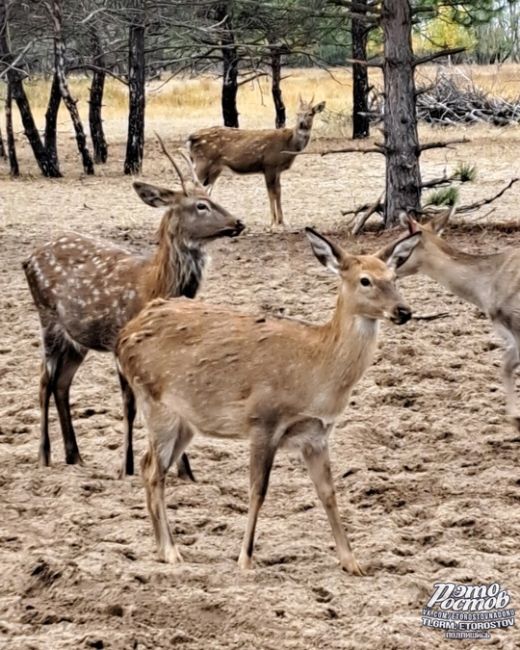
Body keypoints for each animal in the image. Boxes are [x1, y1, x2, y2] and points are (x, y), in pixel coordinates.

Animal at [22, 139, 244, 478]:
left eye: (211, 197)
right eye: (200, 205)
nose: (237, 223)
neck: (154, 286)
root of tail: (28, 258)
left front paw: (187, 473)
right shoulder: (118, 340)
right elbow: (129, 404)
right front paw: (125, 467)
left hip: (76, 338)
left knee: (62, 383)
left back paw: (75, 456)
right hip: (47, 318)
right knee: (44, 380)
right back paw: (44, 456)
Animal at [116, 228, 416, 572]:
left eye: (394, 276)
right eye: (365, 280)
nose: (404, 311)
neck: (317, 373)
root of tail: (123, 336)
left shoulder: (316, 434)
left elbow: (328, 492)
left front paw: (352, 563)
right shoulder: (264, 420)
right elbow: (257, 490)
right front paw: (245, 559)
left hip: (185, 422)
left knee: (147, 465)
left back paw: (160, 547)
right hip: (156, 403)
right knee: (154, 471)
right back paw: (170, 550)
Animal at [187, 96, 324, 227]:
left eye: (310, 114)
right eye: (297, 113)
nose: (301, 124)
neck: (289, 145)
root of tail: (191, 139)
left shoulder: (277, 169)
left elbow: (278, 191)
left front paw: (282, 221)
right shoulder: (269, 164)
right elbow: (271, 193)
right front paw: (273, 222)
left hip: (215, 168)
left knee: (204, 191)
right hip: (203, 161)